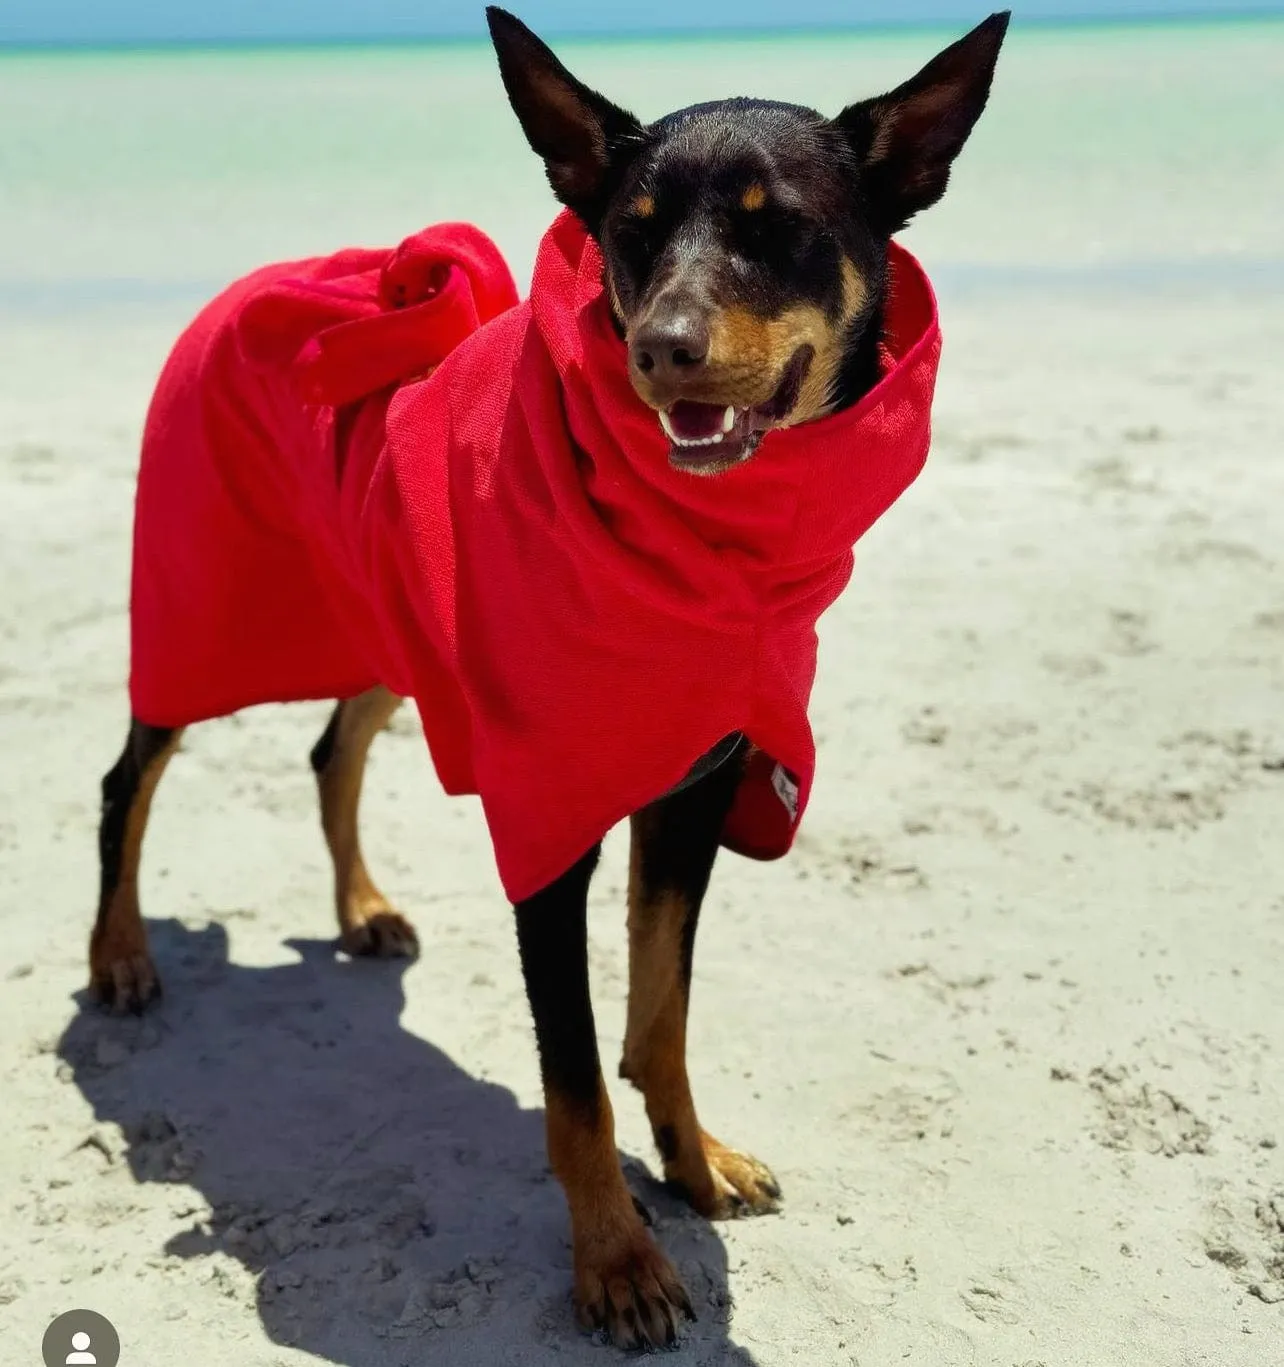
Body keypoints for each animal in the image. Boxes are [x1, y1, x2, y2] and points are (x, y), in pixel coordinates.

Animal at [90, 8, 1011, 1345]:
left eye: (774, 224)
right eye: (628, 231)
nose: (661, 348)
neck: (702, 549)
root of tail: (263, 281)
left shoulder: (693, 794)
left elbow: (662, 1014)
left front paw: (693, 1159)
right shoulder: (550, 828)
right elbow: (576, 1081)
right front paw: (617, 1261)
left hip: (383, 609)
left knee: (332, 742)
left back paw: (359, 906)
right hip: (199, 604)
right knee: (132, 776)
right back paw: (118, 954)